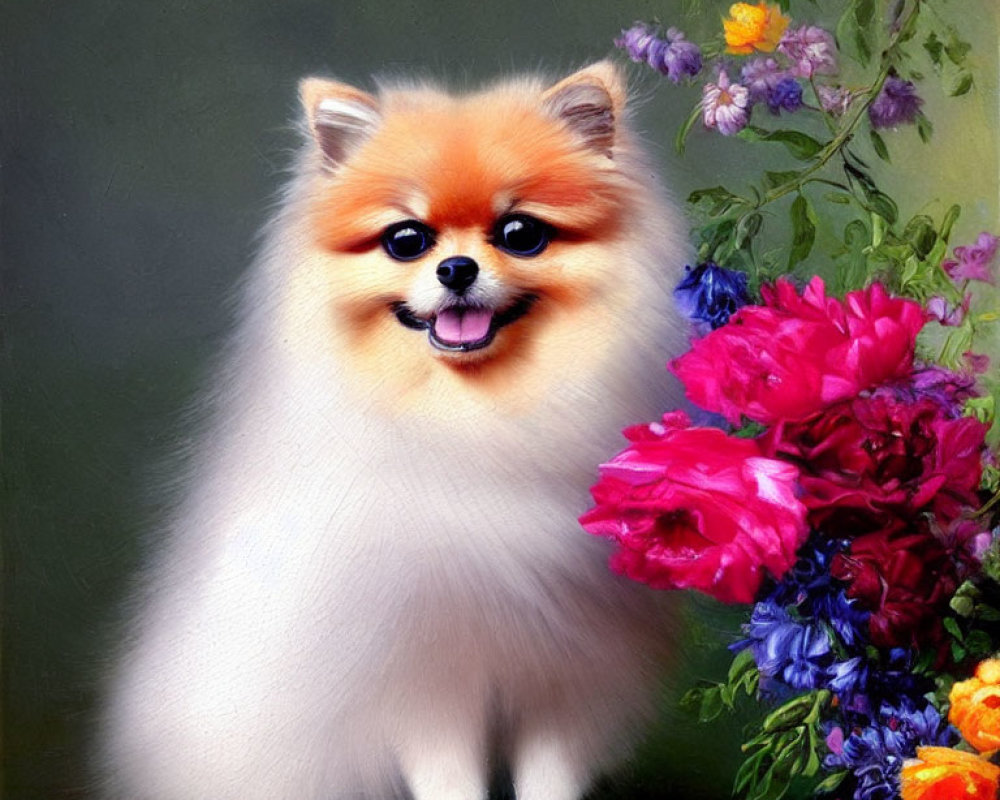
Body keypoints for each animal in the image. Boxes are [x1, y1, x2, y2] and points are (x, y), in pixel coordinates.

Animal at [101, 59, 692, 796]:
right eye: (406, 240)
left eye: (520, 233)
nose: (456, 268)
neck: (480, 425)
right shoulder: (422, 682)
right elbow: (450, 777)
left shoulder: (566, 675)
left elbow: (549, 777)